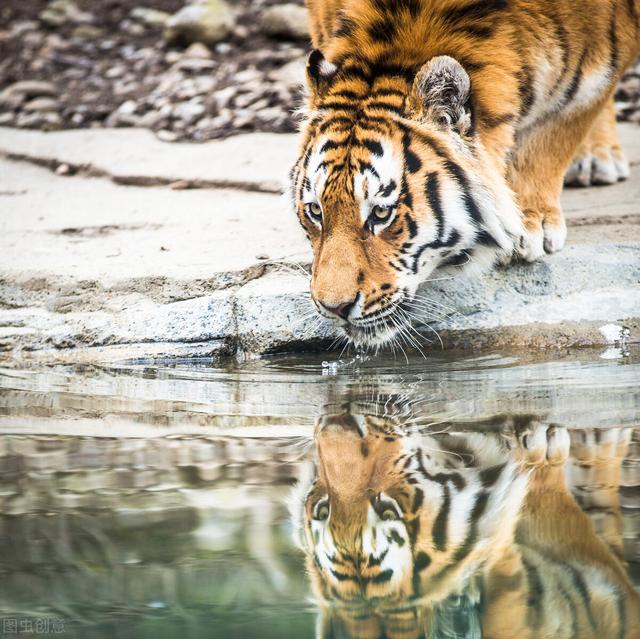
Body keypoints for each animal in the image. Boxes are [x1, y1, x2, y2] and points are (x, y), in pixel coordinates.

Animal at [290, 1, 640, 350]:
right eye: (316, 211)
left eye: (381, 213)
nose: (334, 308)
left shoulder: (595, 76)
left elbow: (553, 138)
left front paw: (531, 225)